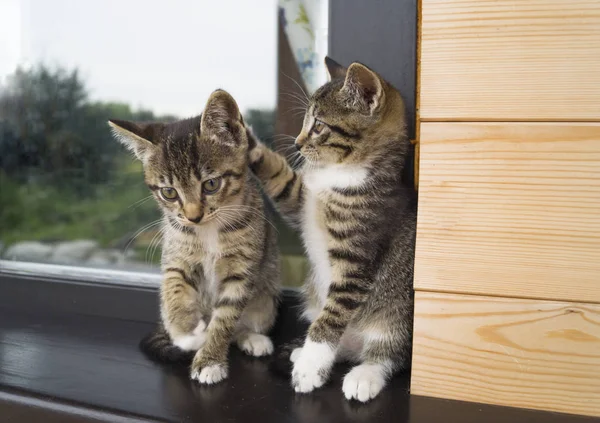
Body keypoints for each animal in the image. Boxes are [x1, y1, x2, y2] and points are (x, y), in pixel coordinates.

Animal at [108, 90, 282, 388]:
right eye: (168, 192)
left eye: (211, 184)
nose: (193, 216)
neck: (209, 230)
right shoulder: (176, 256)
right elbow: (175, 293)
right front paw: (186, 334)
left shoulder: (242, 269)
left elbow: (225, 319)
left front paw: (209, 360)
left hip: (266, 300)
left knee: (241, 324)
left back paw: (252, 338)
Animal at [246, 58, 414, 402]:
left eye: (319, 126)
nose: (297, 143)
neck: (341, 173)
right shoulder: (300, 201)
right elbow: (281, 180)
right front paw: (243, 137)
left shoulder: (356, 264)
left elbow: (331, 318)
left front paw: (310, 370)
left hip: (393, 320)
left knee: (385, 355)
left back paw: (362, 374)